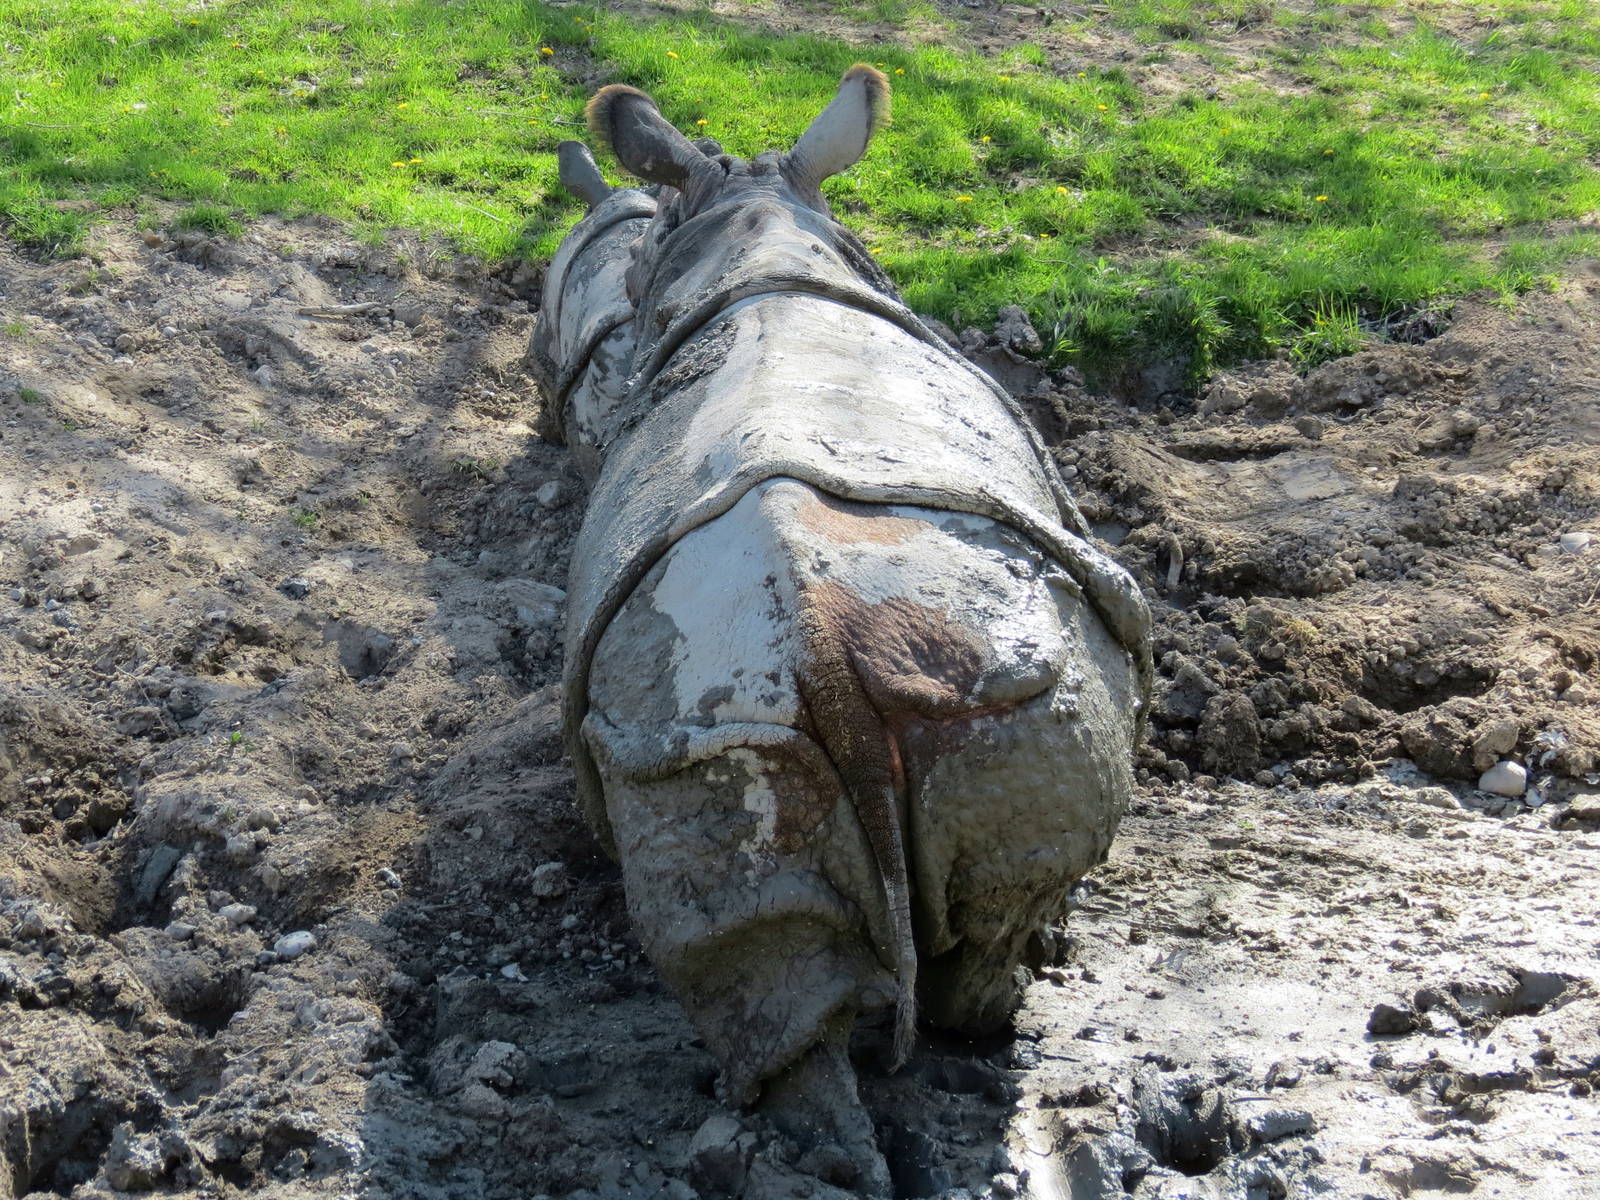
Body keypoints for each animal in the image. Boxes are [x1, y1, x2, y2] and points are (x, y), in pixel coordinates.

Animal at [532, 66, 1152, 1192]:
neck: (757, 231)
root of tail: (823, 651)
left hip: (790, 719)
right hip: (909, 699)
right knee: (984, 923)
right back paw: (990, 1022)